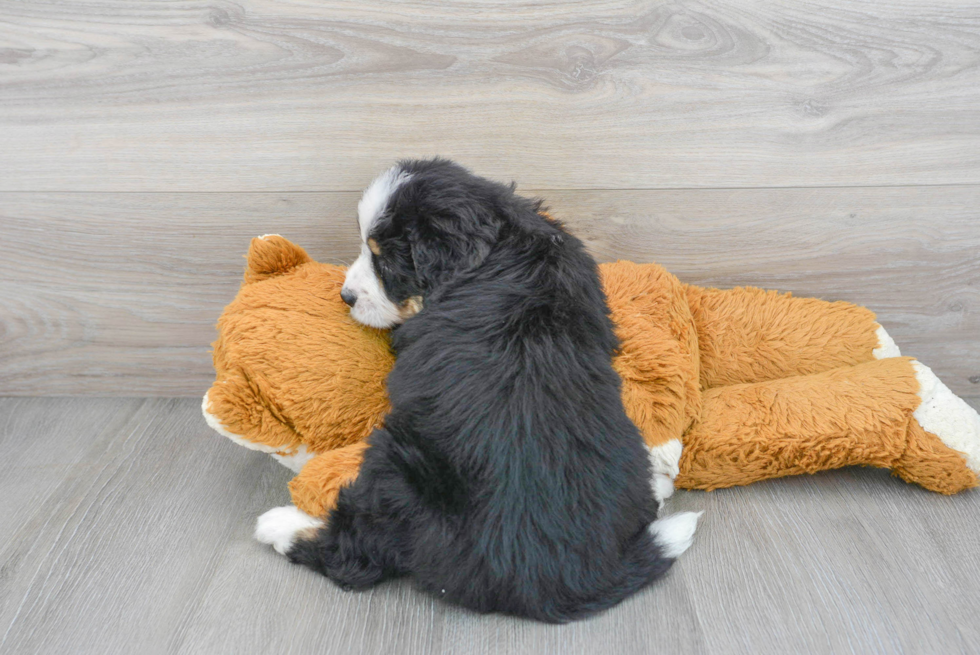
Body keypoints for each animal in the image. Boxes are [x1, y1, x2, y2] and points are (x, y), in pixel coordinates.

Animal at [256, 160, 700, 624]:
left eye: (385, 260)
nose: (345, 296)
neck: (501, 241)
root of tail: (551, 581)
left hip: (396, 469)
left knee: (356, 554)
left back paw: (282, 525)